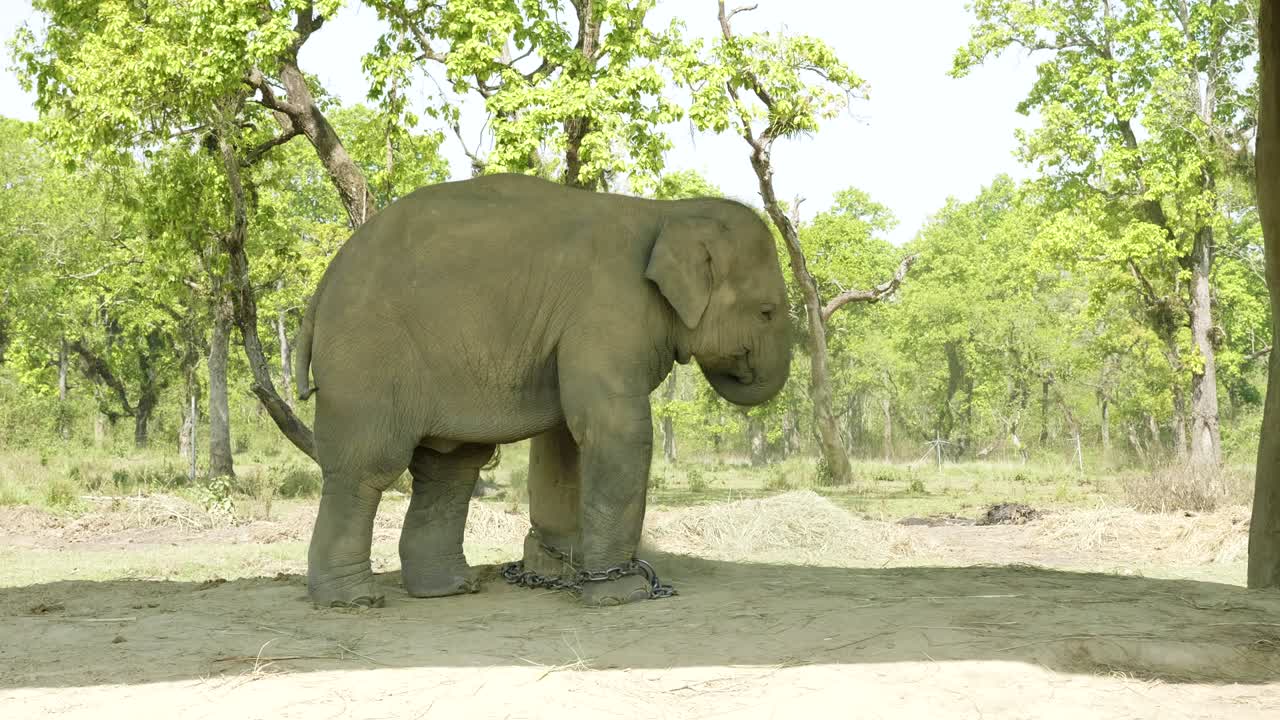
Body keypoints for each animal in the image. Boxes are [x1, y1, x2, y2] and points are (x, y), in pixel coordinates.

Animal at [293, 172, 791, 608]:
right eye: (766, 312)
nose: (741, 369)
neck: (667, 211)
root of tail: (321, 289)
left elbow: (567, 435)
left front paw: (570, 570)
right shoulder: (609, 312)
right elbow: (614, 431)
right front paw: (620, 595)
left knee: (449, 468)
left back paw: (450, 588)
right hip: (366, 360)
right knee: (368, 467)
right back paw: (353, 600)